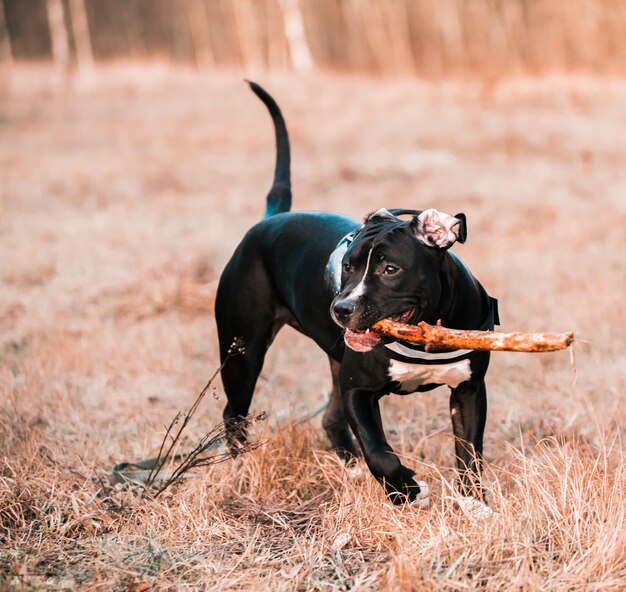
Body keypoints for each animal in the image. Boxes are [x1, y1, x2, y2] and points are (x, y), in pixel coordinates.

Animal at [214, 84, 498, 508]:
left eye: (390, 269)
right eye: (347, 265)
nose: (341, 308)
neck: (425, 335)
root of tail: (268, 220)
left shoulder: (468, 390)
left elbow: (469, 452)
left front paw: (474, 504)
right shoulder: (357, 392)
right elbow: (378, 450)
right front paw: (406, 490)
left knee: (329, 420)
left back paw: (350, 471)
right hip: (242, 354)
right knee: (234, 414)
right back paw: (241, 471)